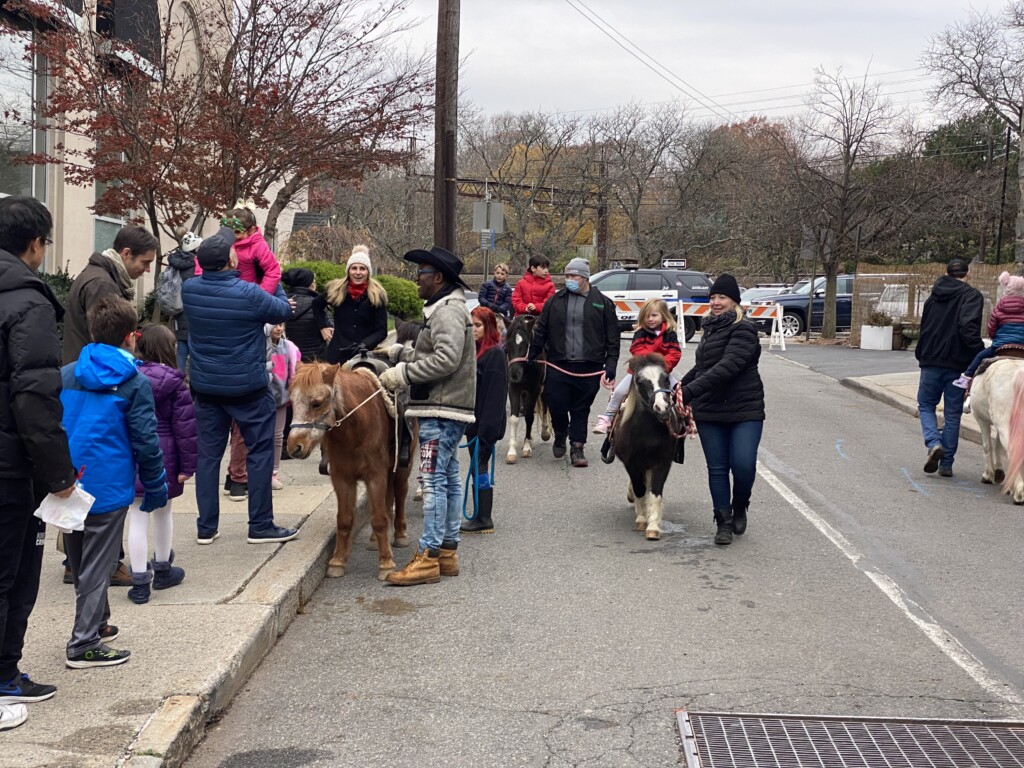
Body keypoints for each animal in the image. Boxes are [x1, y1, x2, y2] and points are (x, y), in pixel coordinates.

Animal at [286, 364, 413, 581]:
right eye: (292, 402)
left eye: (316, 403)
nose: (294, 446)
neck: (353, 430)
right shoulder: (342, 478)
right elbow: (345, 520)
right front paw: (337, 561)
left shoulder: (375, 476)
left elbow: (379, 519)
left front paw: (386, 563)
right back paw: (374, 540)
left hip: (403, 468)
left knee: (400, 493)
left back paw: (400, 534)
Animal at [503, 313, 552, 462]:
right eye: (508, 344)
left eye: (526, 344)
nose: (514, 373)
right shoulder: (513, 387)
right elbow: (514, 418)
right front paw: (511, 451)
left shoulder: (535, 388)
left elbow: (529, 416)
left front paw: (526, 447)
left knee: (545, 404)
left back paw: (544, 432)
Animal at [610, 354, 684, 540]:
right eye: (641, 382)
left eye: (665, 379)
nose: (662, 408)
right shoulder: (632, 463)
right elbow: (639, 489)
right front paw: (642, 519)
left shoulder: (662, 463)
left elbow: (655, 492)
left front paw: (653, 526)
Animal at [962, 360, 1024, 505]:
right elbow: (997, 446)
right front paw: (1000, 473)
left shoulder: (982, 420)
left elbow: (987, 446)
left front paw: (988, 475)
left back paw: (1019, 493)